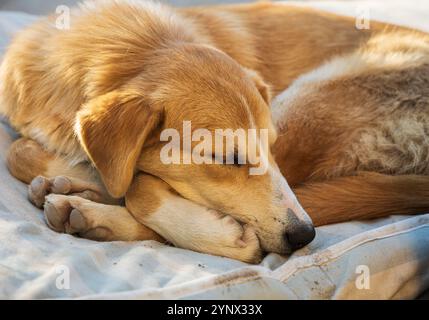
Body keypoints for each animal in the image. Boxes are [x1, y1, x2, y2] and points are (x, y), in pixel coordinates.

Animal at [0, 1, 428, 264]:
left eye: (270, 149)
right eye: (227, 158)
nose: (304, 236)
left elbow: (135, 185)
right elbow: (18, 151)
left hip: (308, 99)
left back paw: (87, 211)